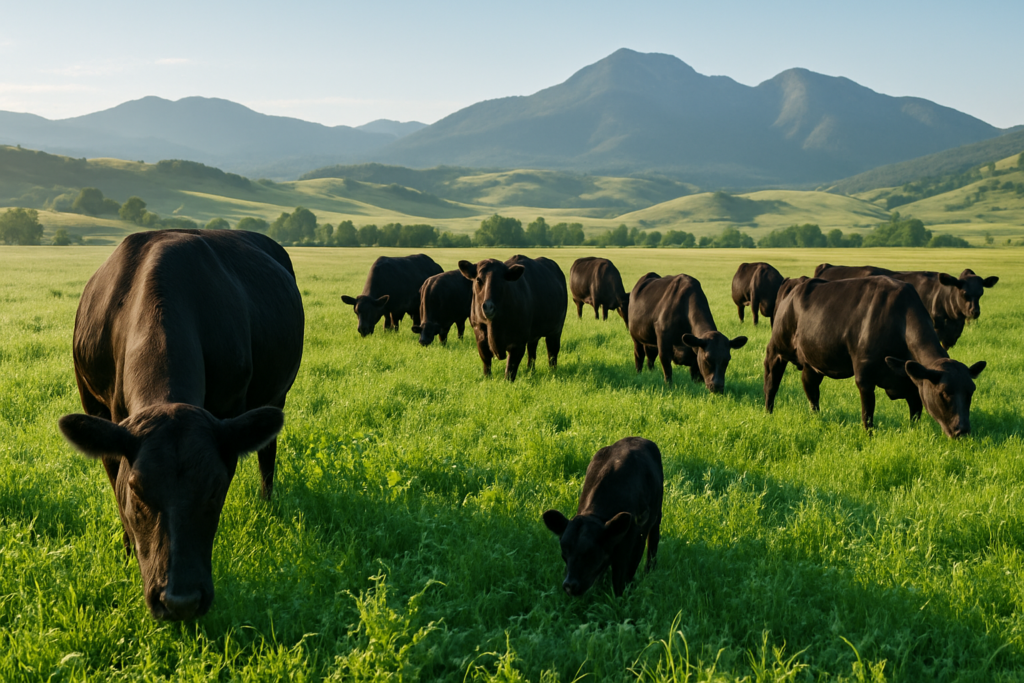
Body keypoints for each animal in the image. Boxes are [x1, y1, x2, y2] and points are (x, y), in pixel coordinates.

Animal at [57, 229, 304, 621]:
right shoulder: (98, 409)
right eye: (138, 489)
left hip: (277, 393)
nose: (181, 601)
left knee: (268, 452)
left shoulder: (231, 413)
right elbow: (116, 492)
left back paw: (267, 504)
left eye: (216, 487)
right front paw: (127, 555)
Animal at [543, 437, 663, 597]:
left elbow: (622, 577)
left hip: (657, 512)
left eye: (591, 553)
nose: (569, 586)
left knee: (653, 539)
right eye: (564, 552)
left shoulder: (635, 539)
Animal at [764, 276, 986, 437]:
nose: (962, 431)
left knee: (811, 388)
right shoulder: (864, 377)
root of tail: (796, 282)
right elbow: (867, 415)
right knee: (771, 382)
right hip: (777, 348)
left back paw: (816, 416)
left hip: (813, 360)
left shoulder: (912, 381)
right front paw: (868, 436)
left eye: (971, 391)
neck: (899, 321)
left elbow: (916, 411)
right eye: (944, 393)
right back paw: (768, 413)